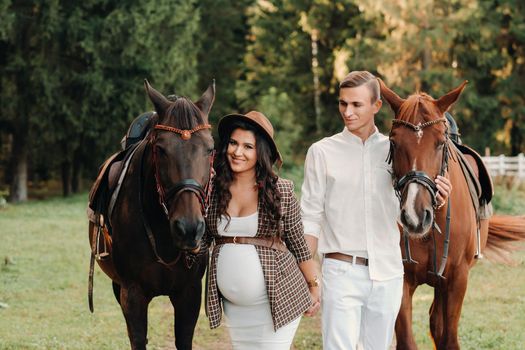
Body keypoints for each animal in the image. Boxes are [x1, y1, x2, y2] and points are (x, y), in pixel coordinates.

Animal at [88, 80, 215, 350]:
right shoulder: (132, 294)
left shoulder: (189, 293)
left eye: (210, 149)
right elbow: (138, 338)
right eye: (161, 149)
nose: (189, 228)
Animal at [378, 80, 524, 348]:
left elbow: (449, 339)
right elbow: (407, 340)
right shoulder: (401, 282)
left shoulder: (457, 280)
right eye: (393, 142)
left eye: (440, 143)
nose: (415, 216)